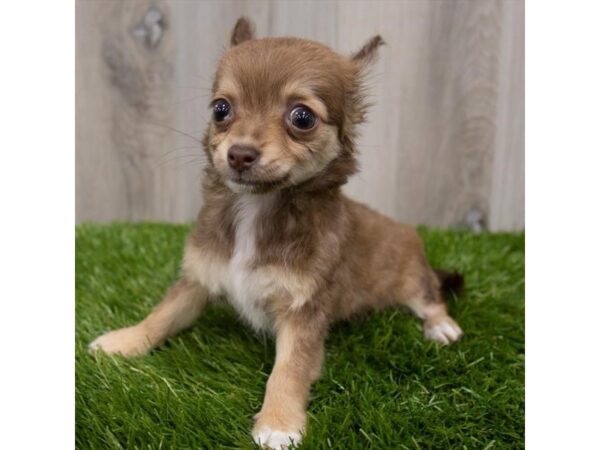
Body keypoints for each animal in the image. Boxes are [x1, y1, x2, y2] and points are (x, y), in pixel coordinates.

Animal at [89, 16, 464, 446]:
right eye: (221, 109)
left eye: (301, 118)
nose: (239, 153)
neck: (256, 209)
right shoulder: (198, 279)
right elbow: (161, 316)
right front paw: (124, 341)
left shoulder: (304, 311)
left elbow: (288, 370)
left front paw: (278, 422)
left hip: (411, 278)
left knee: (432, 297)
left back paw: (442, 326)